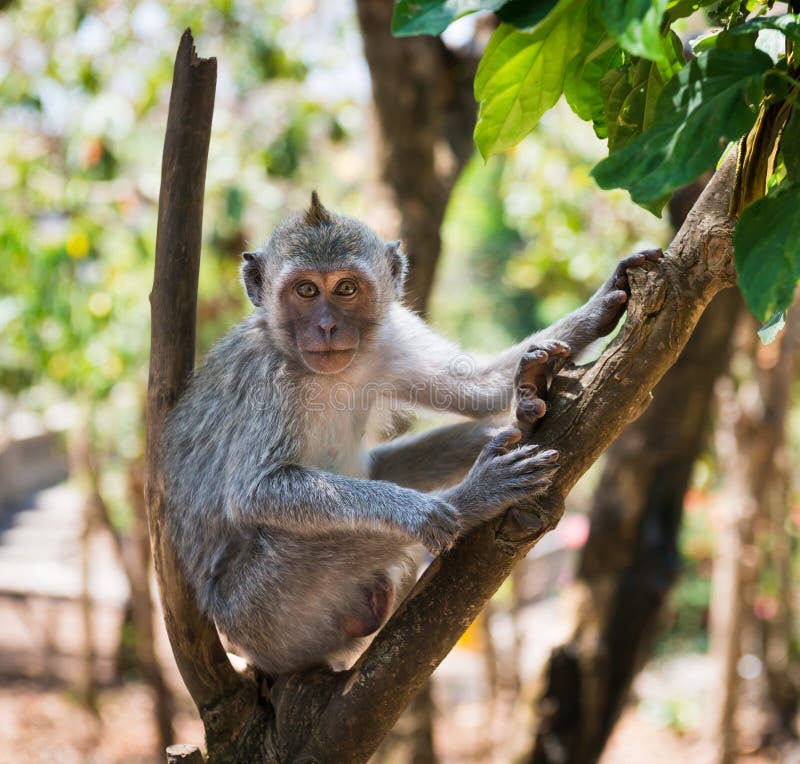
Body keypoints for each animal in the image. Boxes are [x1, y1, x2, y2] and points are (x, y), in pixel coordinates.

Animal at [161, 192, 661, 677]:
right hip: (261, 615)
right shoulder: (264, 377)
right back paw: (473, 498)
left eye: (346, 288)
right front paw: (424, 511)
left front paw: (600, 306)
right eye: (305, 290)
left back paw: (525, 409)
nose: (326, 327)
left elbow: (476, 389)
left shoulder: (392, 338)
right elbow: (256, 490)